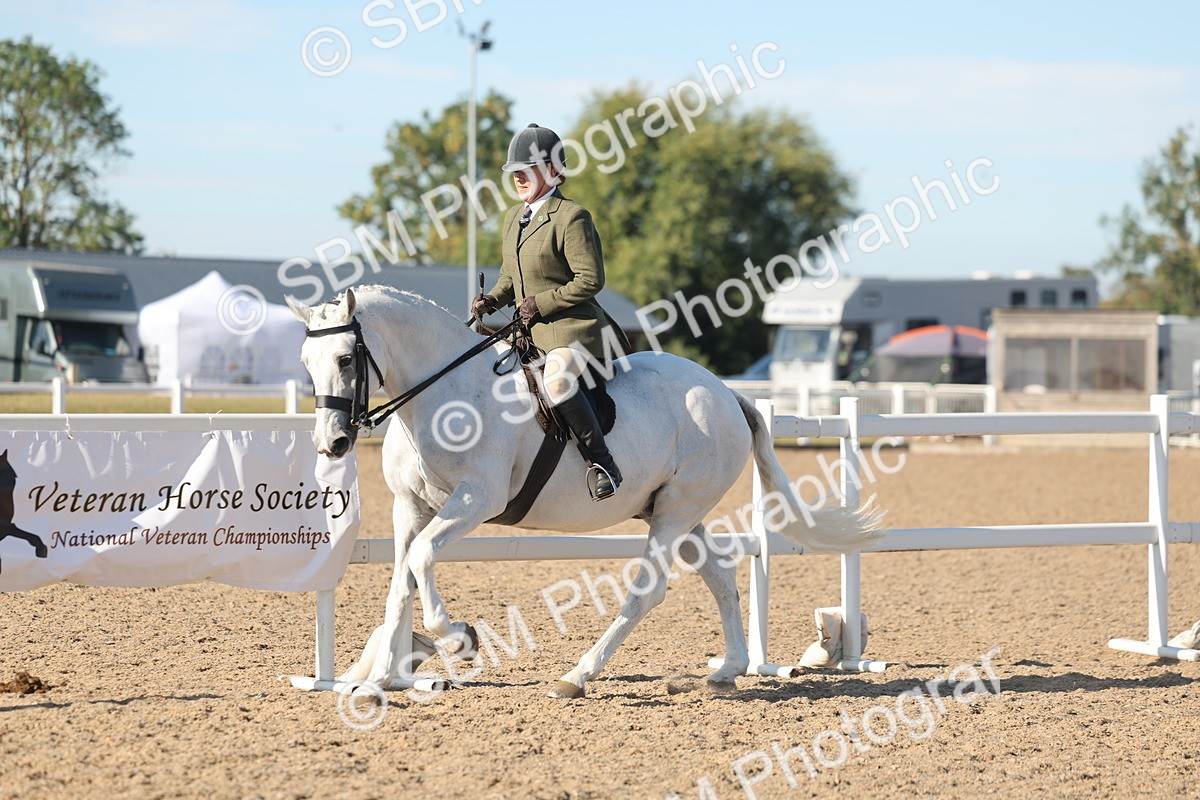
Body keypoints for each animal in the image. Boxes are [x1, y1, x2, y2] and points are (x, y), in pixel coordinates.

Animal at [289, 286, 882, 698]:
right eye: (307, 363)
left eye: (346, 359)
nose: (332, 443)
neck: (447, 393)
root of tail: (726, 393)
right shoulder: (409, 507)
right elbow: (401, 584)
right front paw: (376, 682)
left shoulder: (477, 500)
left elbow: (423, 557)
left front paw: (458, 639)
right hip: (678, 512)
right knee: (719, 578)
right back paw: (729, 670)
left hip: (674, 514)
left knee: (647, 592)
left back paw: (577, 675)